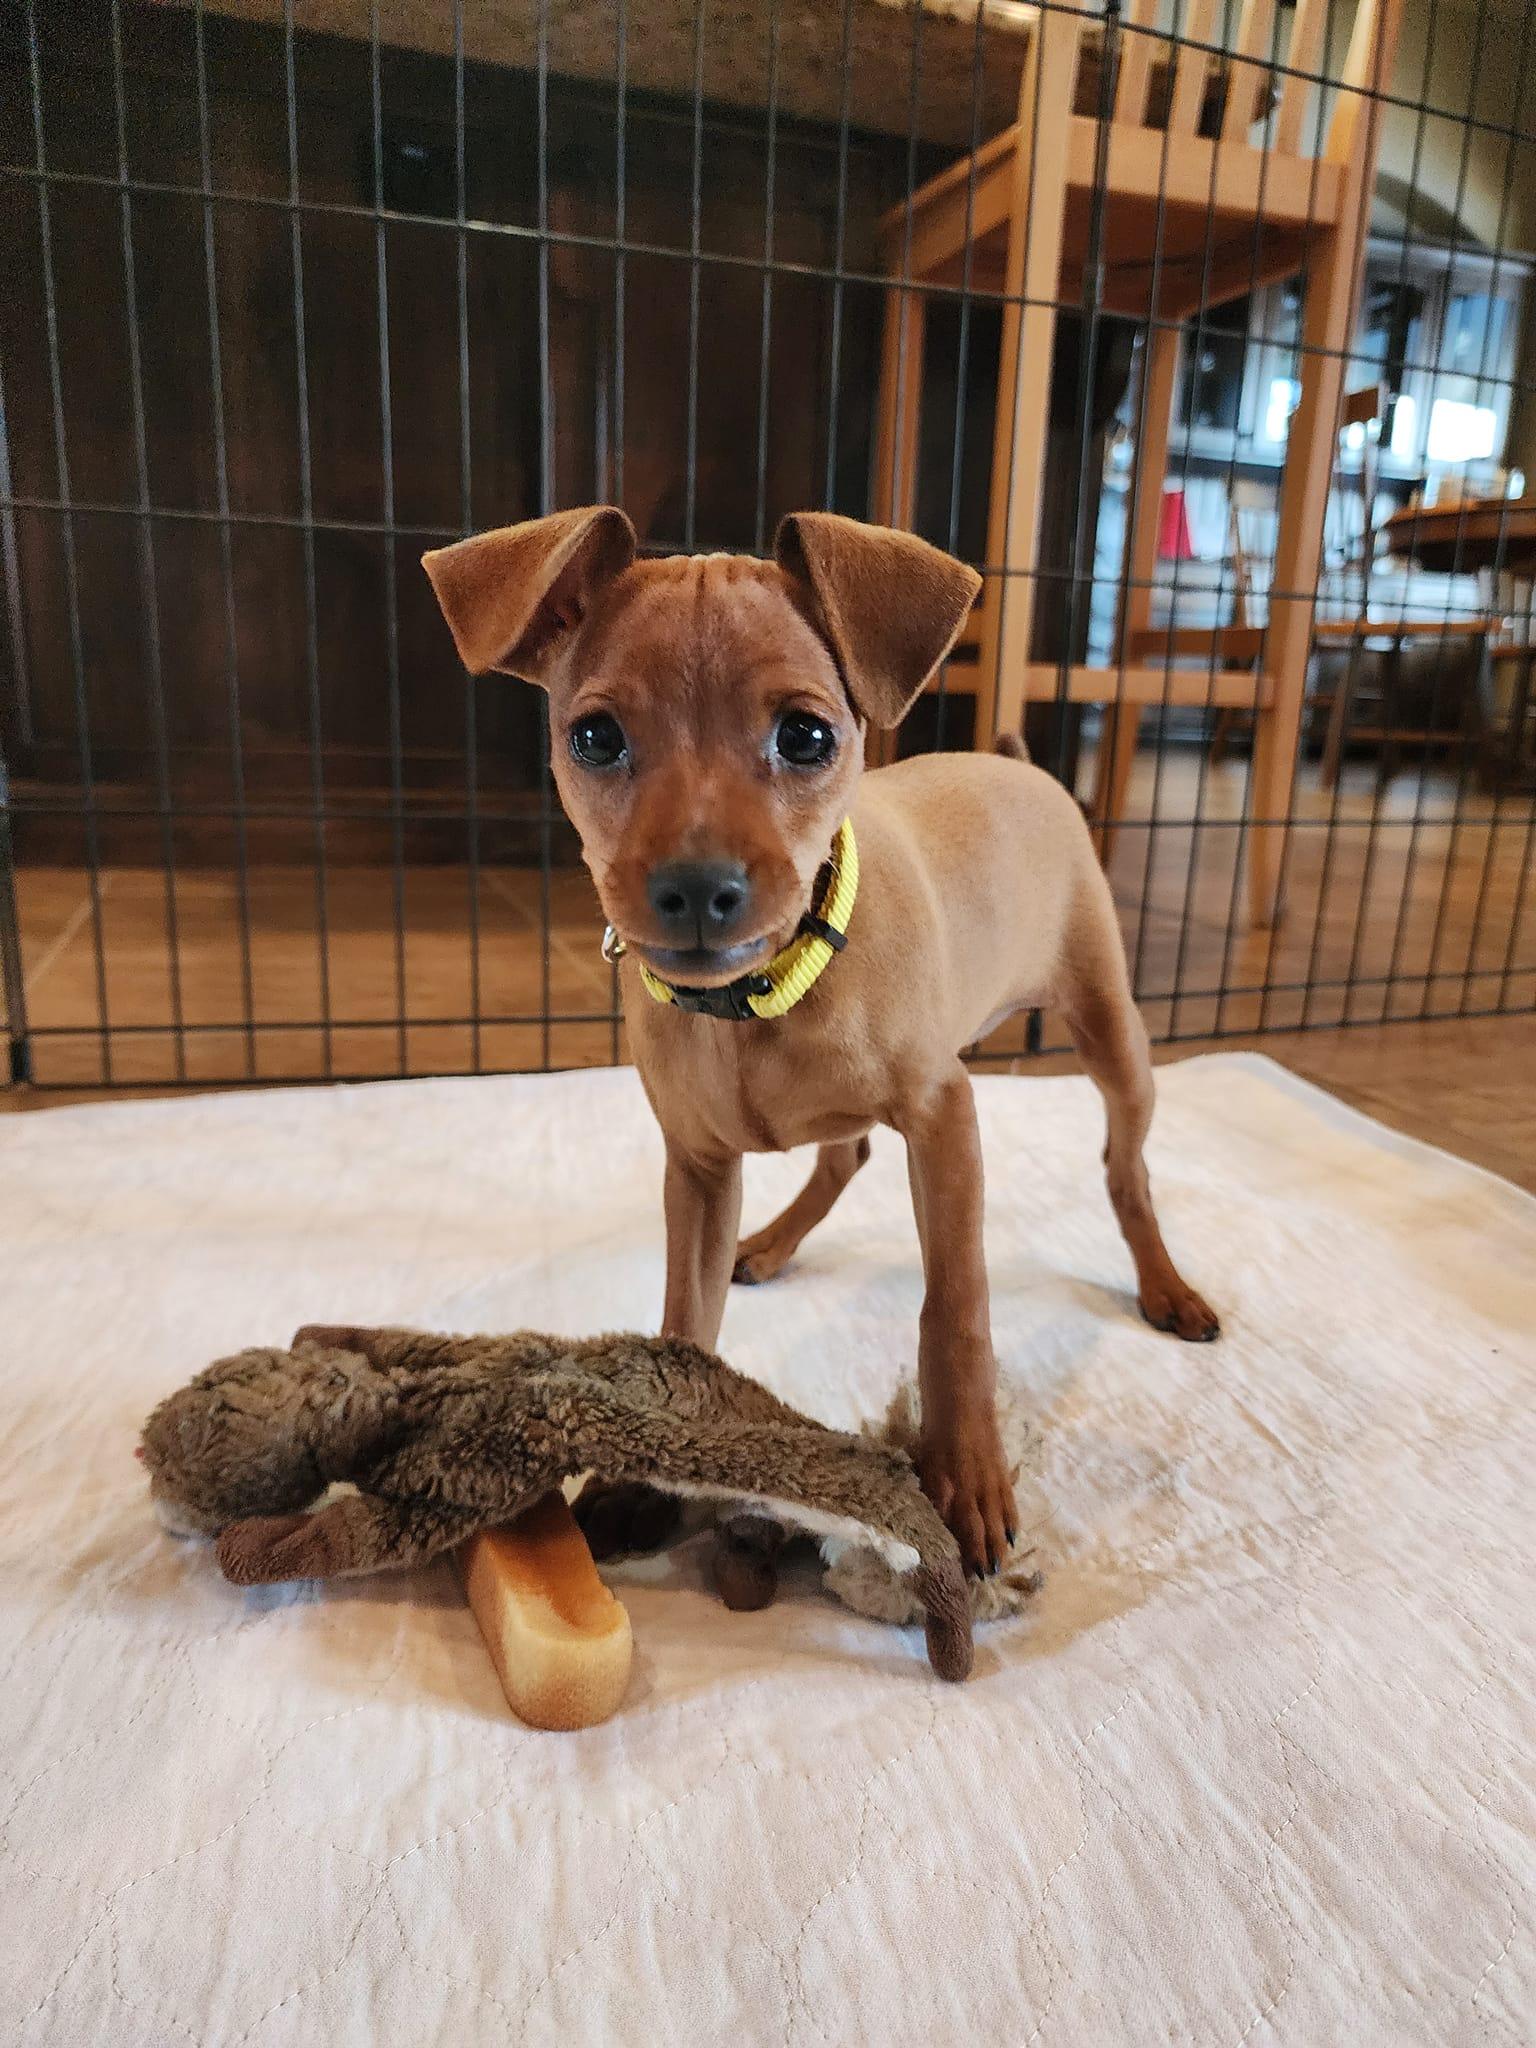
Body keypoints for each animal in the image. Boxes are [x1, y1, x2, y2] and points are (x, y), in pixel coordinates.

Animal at [424, 508, 1217, 1577]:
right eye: (594, 737)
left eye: (805, 734)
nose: (696, 887)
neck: (755, 1004)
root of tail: (1019, 762)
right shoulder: (697, 1168)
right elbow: (683, 1329)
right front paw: (646, 1480)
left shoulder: (946, 1117)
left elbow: (955, 1308)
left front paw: (965, 1474)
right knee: (847, 1151)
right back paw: (770, 1244)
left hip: (1113, 1034)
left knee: (1124, 1169)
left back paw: (1164, 1285)